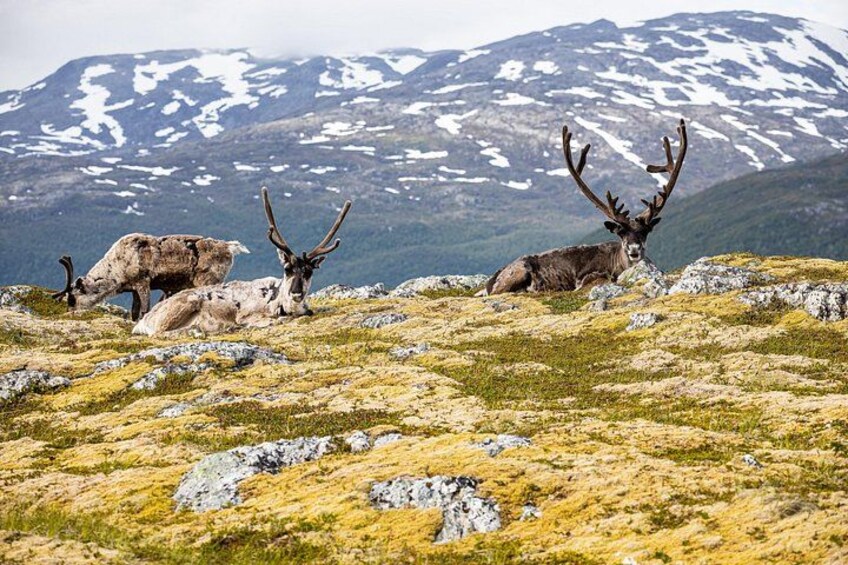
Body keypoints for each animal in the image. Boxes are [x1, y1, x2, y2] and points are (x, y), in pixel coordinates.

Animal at [52, 235, 249, 321]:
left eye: (72, 298)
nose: (69, 314)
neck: (115, 269)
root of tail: (230, 247)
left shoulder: (143, 282)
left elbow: (145, 311)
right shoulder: (133, 289)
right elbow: (134, 312)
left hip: (208, 280)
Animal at [132, 187, 352, 336]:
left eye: (309, 271)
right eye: (287, 268)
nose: (296, 293)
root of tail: (144, 320)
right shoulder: (248, 313)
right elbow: (272, 320)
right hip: (186, 304)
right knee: (160, 332)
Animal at [482, 119, 687, 295]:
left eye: (645, 231)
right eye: (621, 232)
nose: (634, 250)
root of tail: (491, 280)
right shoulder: (589, 274)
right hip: (517, 272)